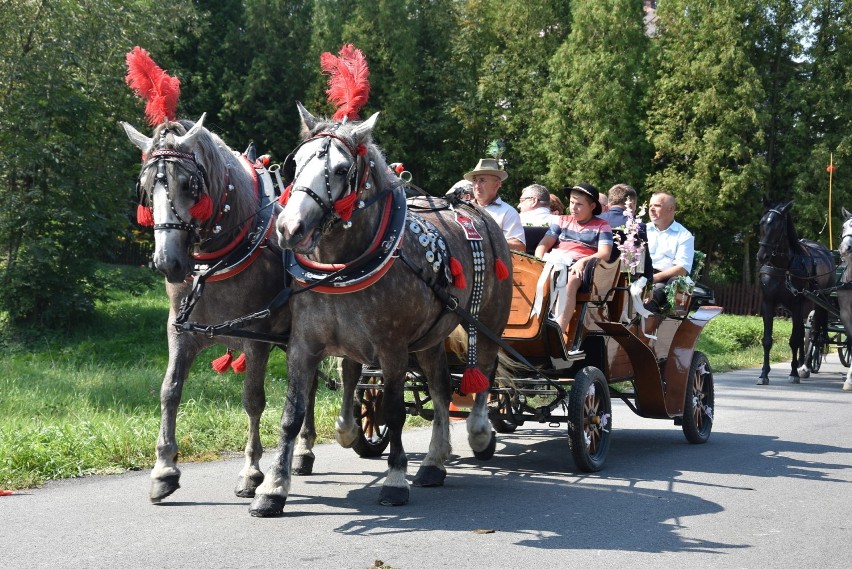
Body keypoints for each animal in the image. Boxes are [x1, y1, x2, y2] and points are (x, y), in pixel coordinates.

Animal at [120, 115, 320, 502]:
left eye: (189, 184)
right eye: (146, 188)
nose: (168, 262)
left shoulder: (256, 339)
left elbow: (253, 400)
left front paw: (252, 471)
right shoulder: (180, 331)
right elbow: (170, 390)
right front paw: (164, 469)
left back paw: (305, 449)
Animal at [246, 102, 512, 516]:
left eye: (342, 170)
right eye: (297, 164)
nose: (289, 228)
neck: (344, 267)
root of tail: (478, 212)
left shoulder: (392, 348)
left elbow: (394, 410)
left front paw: (396, 480)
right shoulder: (304, 345)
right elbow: (293, 415)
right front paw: (273, 488)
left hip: (488, 323)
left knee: (482, 372)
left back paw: (479, 432)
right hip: (432, 337)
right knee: (440, 388)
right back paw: (434, 461)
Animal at [760, 202, 832, 384]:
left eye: (778, 226)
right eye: (762, 222)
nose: (761, 256)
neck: (783, 267)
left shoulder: (797, 304)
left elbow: (794, 339)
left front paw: (793, 373)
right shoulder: (768, 303)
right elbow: (767, 340)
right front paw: (764, 374)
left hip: (819, 303)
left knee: (813, 332)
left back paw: (805, 365)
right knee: (802, 333)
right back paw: (800, 362)